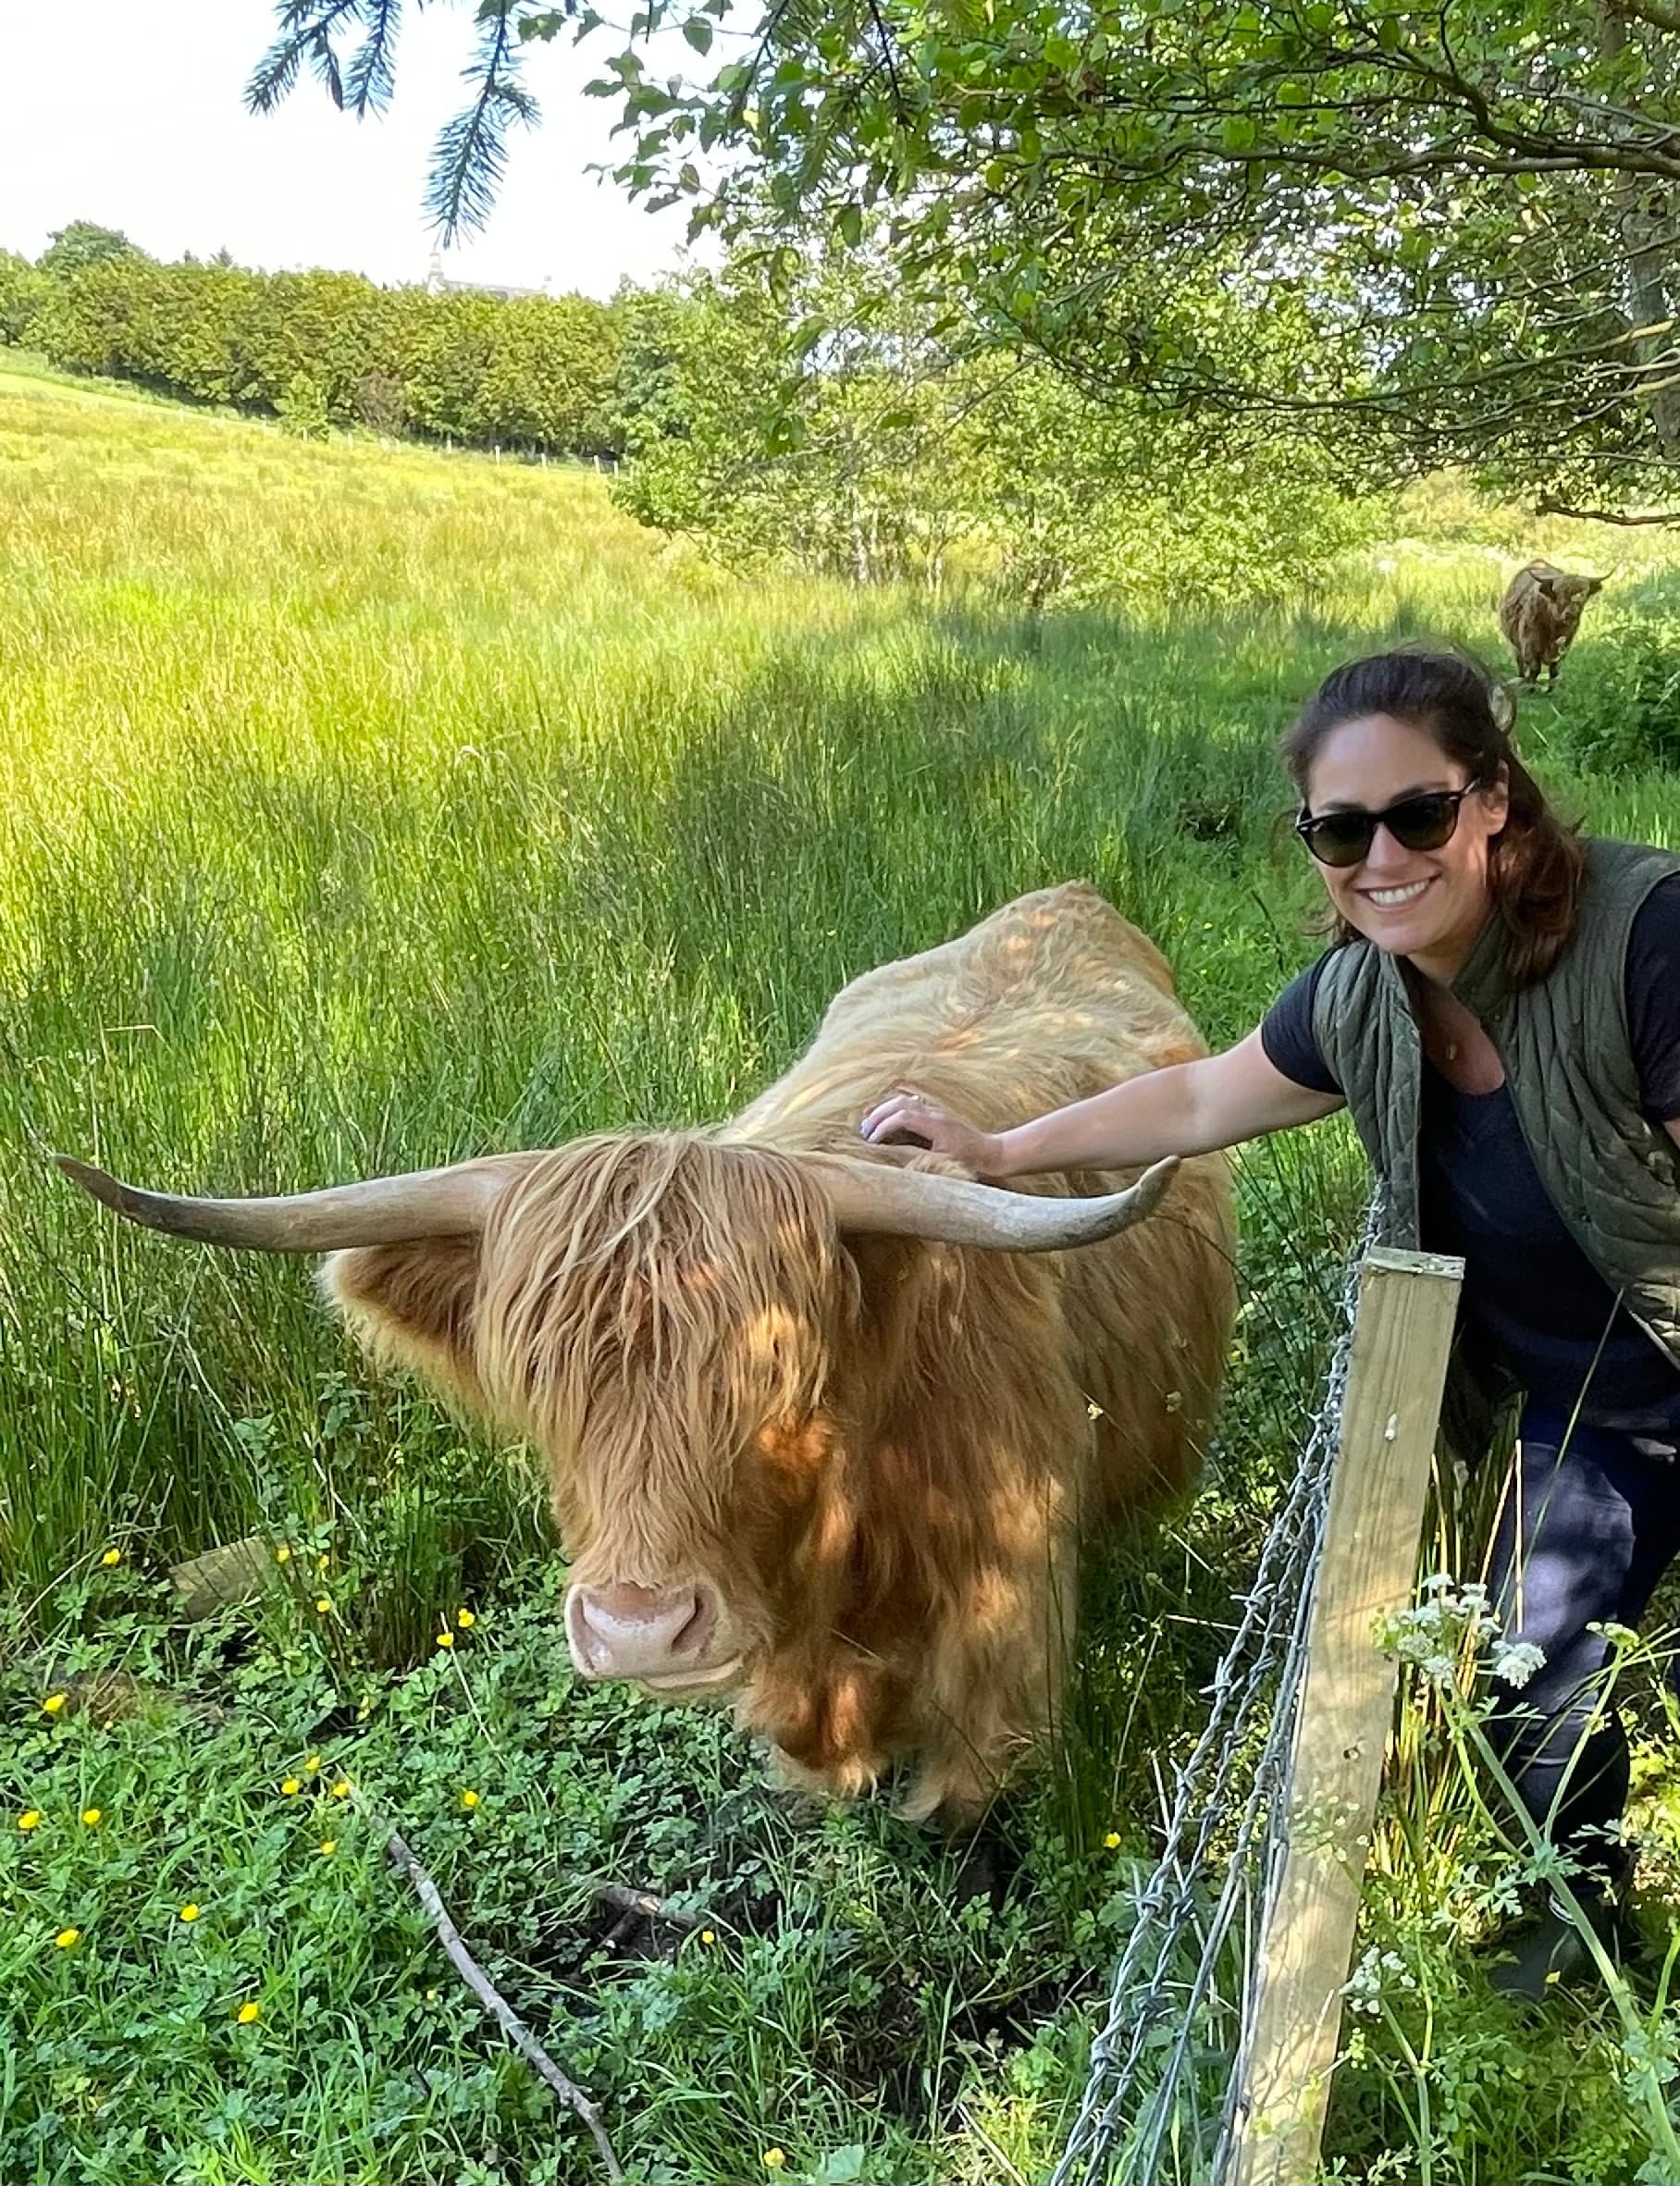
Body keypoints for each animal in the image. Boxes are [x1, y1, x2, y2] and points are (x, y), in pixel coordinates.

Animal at [1499, 560, 1604, 687]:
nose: (1571, 614)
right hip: (1514, 645)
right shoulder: (1529, 645)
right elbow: (1534, 668)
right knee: (1521, 664)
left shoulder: (1564, 646)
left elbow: (1554, 671)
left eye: (1584, 596)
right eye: (1559, 594)